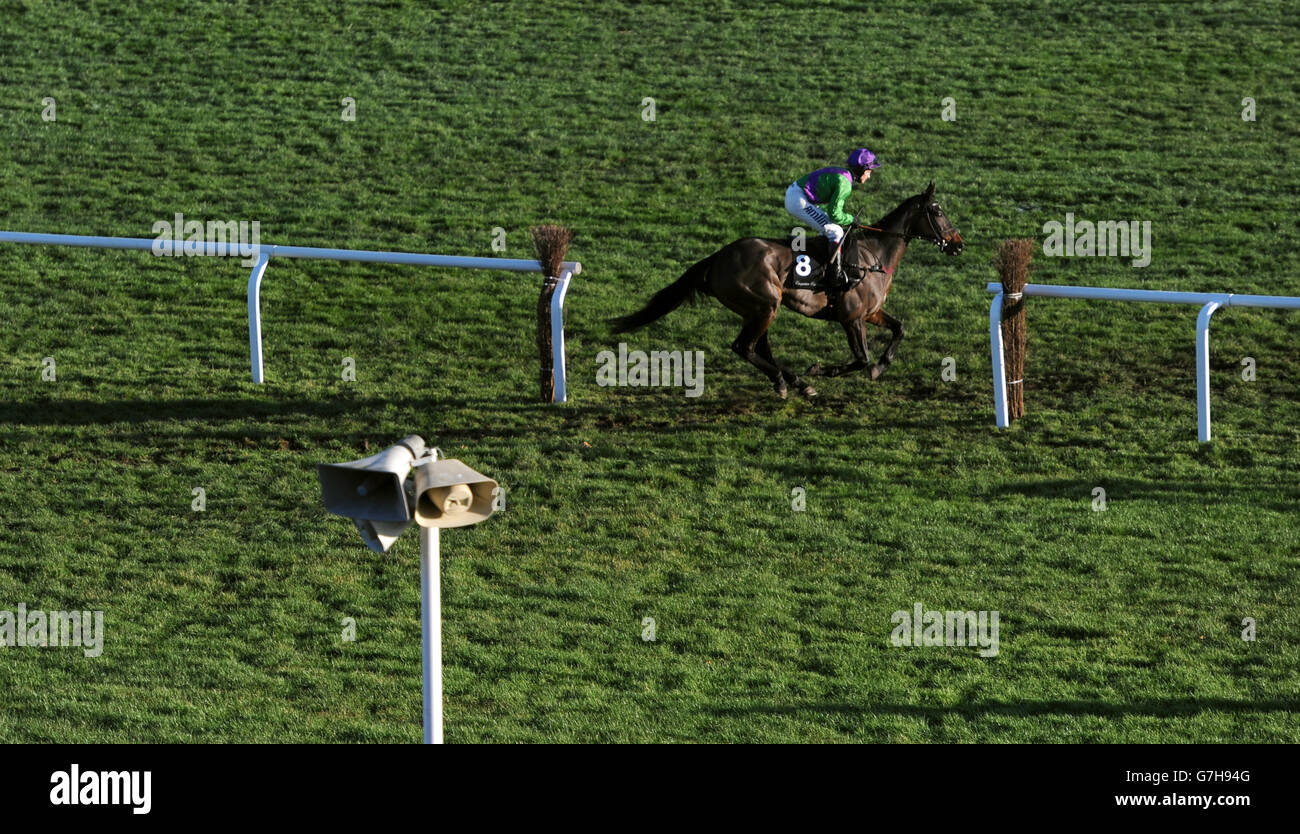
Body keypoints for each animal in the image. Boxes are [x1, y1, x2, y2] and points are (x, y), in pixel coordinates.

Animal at [611, 184, 967, 394]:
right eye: (937, 211)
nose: (958, 244)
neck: (873, 254)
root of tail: (717, 257)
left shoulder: (872, 312)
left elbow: (900, 329)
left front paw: (882, 365)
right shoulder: (852, 318)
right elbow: (861, 358)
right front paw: (822, 369)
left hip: (759, 307)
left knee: (758, 347)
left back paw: (791, 381)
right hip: (764, 304)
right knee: (744, 347)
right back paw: (790, 381)